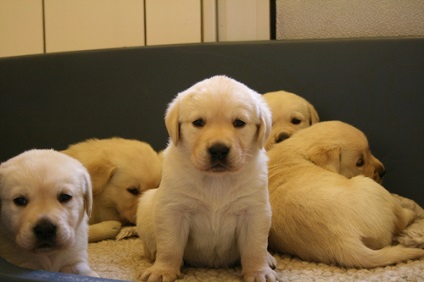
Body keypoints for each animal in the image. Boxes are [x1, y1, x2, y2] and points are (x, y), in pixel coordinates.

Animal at [136, 75, 278, 282]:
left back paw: (268, 258)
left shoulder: (254, 212)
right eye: (198, 122)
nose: (218, 150)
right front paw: (162, 270)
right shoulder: (173, 210)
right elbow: (169, 245)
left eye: (239, 123)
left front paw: (259, 272)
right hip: (146, 205)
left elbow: (255, 247)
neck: (216, 179)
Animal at [268, 120, 424, 266]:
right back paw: (411, 211)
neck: (300, 149)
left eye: (369, 150)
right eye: (359, 162)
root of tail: (343, 240)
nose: (383, 171)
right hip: (371, 187)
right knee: (400, 219)